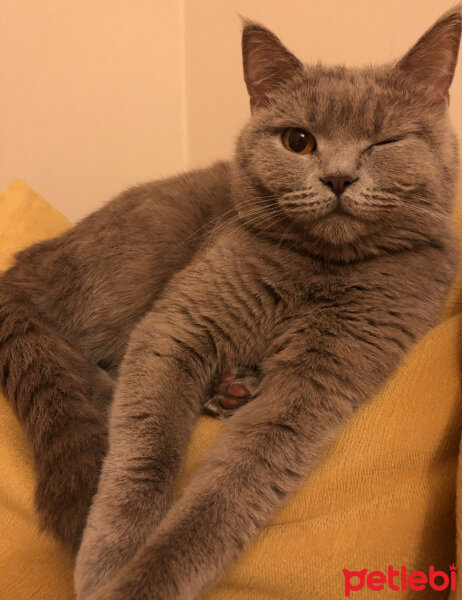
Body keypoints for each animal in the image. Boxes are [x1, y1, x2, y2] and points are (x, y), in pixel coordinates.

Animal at [0, 5, 462, 600]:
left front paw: (146, 579)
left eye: (383, 143)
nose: (338, 178)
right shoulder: (177, 325)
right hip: (136, 256)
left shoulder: (321, 380)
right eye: (298, 140)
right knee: (72, 350)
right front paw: (113, 558)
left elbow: (231, 491)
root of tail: (28, 259)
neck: (318, 272)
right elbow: (146, 451)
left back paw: (231, 389)